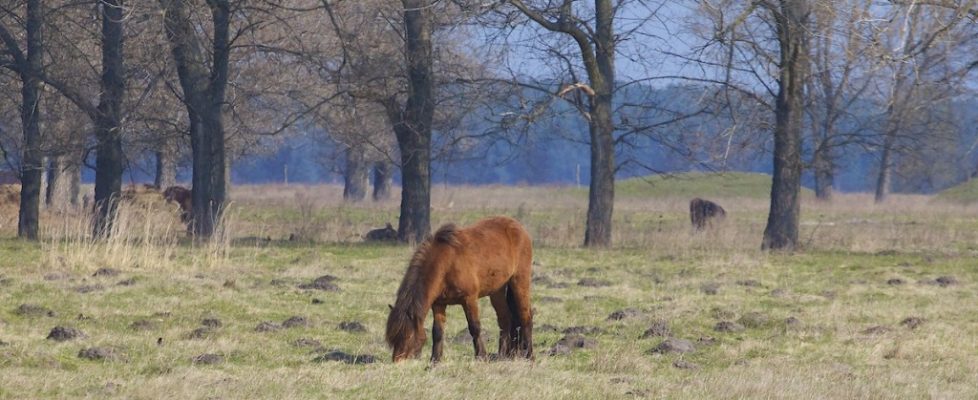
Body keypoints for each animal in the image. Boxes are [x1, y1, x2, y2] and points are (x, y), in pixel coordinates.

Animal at [384, 216, 532, 362]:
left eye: (408, 336)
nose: (397, 361)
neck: (446, 263)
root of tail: (519, 227)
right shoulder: (438, 304)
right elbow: (437, 331)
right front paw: (435, 359)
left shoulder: (469, 299)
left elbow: (474, 327)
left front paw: (481, 356)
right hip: (497, 291)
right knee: (505, 318)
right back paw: (502, 355)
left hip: (520, 282)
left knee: (526, 316)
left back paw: (529, 355)